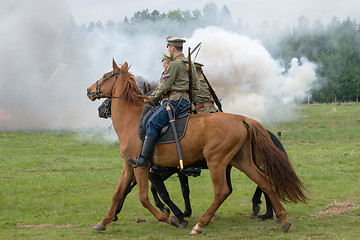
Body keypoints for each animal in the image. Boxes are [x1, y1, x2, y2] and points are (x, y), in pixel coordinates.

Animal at [86, 59, 306, 235]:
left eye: (105, 76)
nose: (89, 91)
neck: (132, 120)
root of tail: (242, 119)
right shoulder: (130, 165)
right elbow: (119, 192)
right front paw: (104, 221)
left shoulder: (143, 166)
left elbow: (145, 196)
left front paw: (171, 218)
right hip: (241, 160)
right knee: (264, 181)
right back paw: (281, 218)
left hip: (216, 161)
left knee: (223, 191)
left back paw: (202, 224)